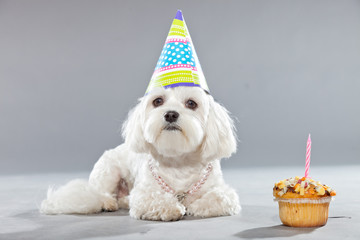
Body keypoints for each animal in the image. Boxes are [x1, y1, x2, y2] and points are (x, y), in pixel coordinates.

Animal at [40, 86, 240, 221]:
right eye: (158, 101)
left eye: (191, 103)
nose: (170, 114)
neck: (178, 160)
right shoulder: (143, 195)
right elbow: (155, 200)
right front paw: (173, 208)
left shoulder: (222, 190)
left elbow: (221, 197)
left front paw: (196, 205)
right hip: (108, 171)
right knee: (100, 193)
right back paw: (108, 202)